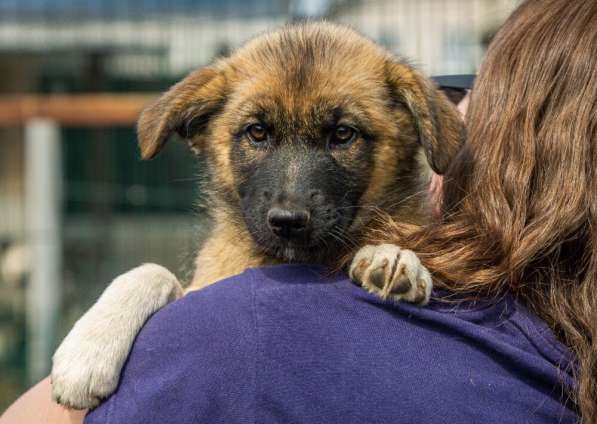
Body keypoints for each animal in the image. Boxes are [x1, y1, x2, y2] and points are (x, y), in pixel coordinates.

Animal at [51, 22, 464, 408]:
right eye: (258, 132)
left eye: (344, 134)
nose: (287, 221)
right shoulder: (198, 285)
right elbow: (151, 271)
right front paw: (87, 352)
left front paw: (391, 257)